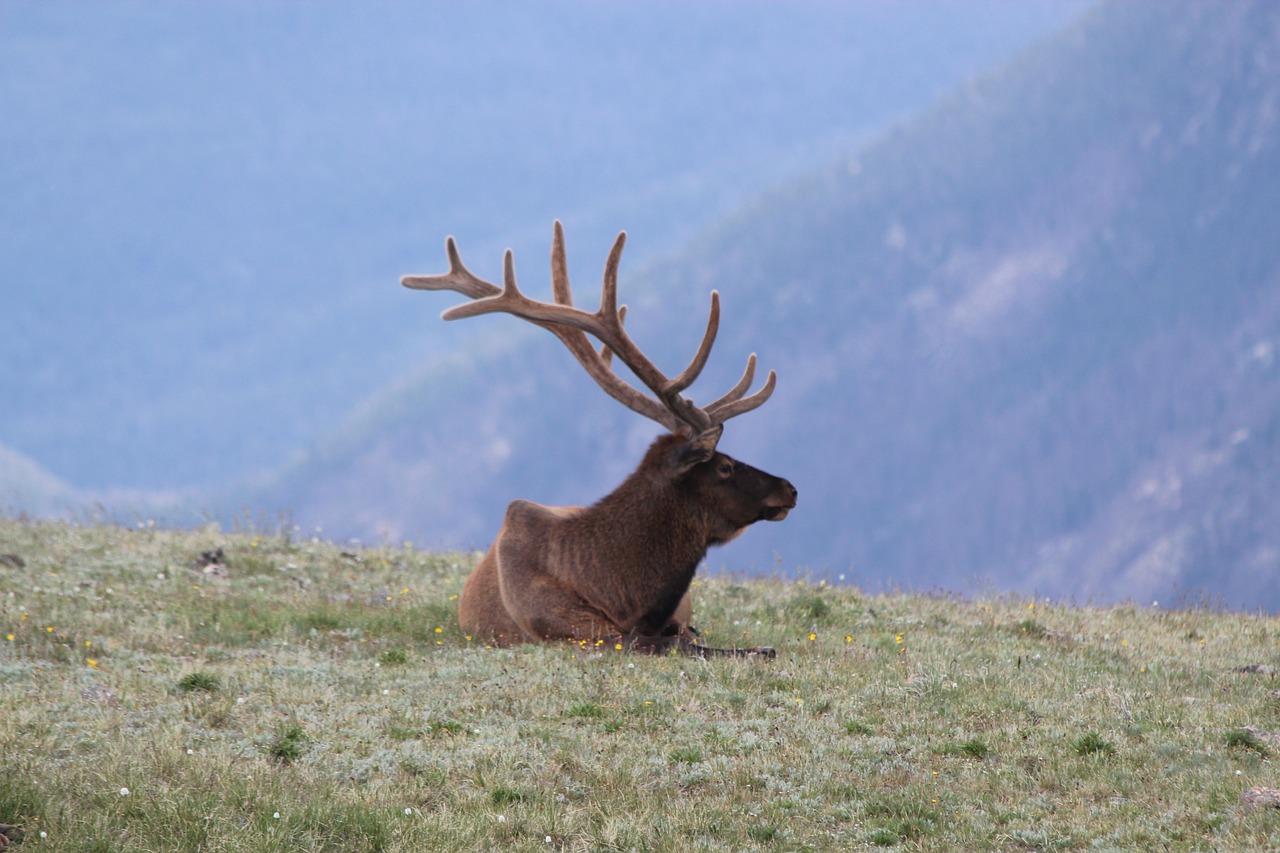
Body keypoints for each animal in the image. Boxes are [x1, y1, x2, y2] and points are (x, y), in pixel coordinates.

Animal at [404, 222, 793, 653]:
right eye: (724, 466)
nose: (790, 488)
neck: (622, 597)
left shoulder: (675, 620)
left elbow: (692, 638)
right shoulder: (574, 631)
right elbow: (673, 646)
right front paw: (757, 649)